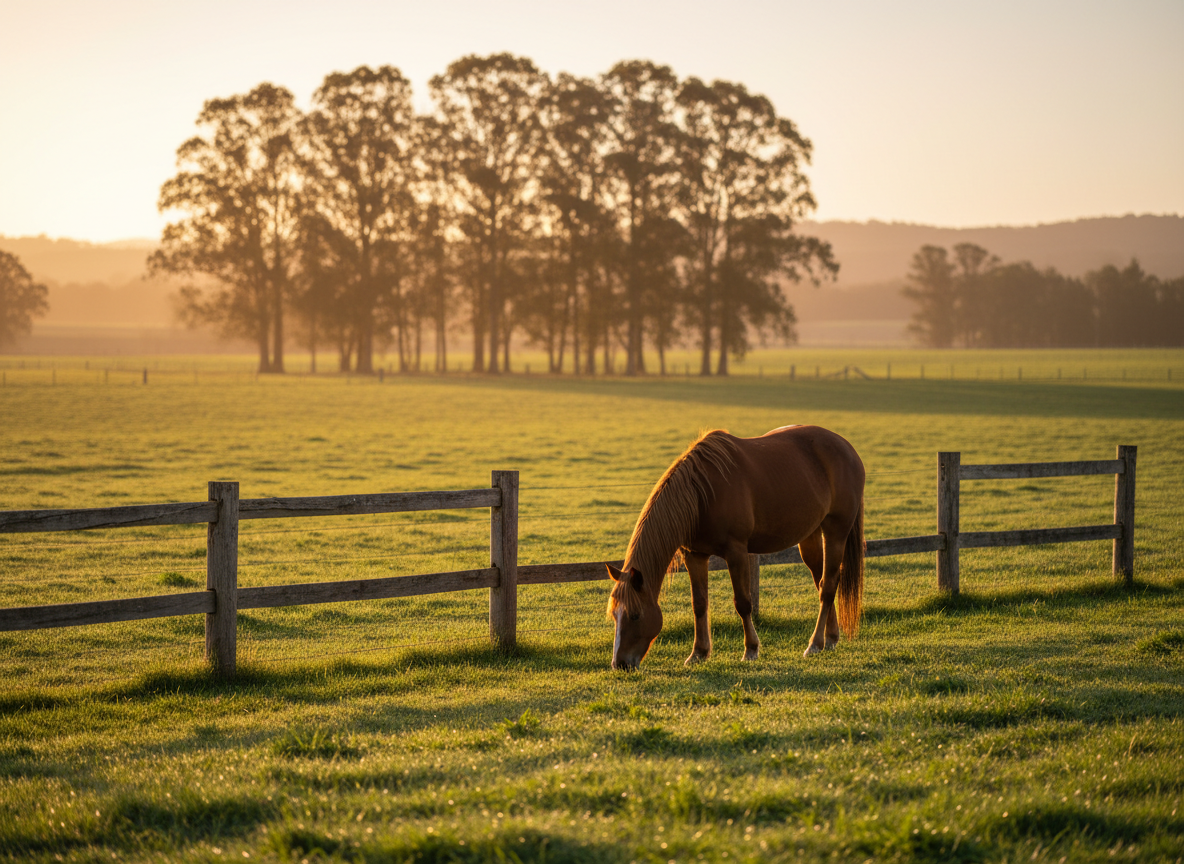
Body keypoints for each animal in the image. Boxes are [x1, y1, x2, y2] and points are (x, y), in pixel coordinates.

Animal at [605, 425, 865, 670]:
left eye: (635, 615)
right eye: (615, 615)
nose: (620, 664)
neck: (702, 494)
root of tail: (847, 448)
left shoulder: (736, 552)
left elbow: (742, 602)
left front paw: (751, 649)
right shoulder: (695, 556)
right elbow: (699, 604)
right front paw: (698, 653)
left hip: (836, 532)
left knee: (828, 586)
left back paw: (815, 644)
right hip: (810, 535)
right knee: (821, 581)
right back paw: (830, 638)